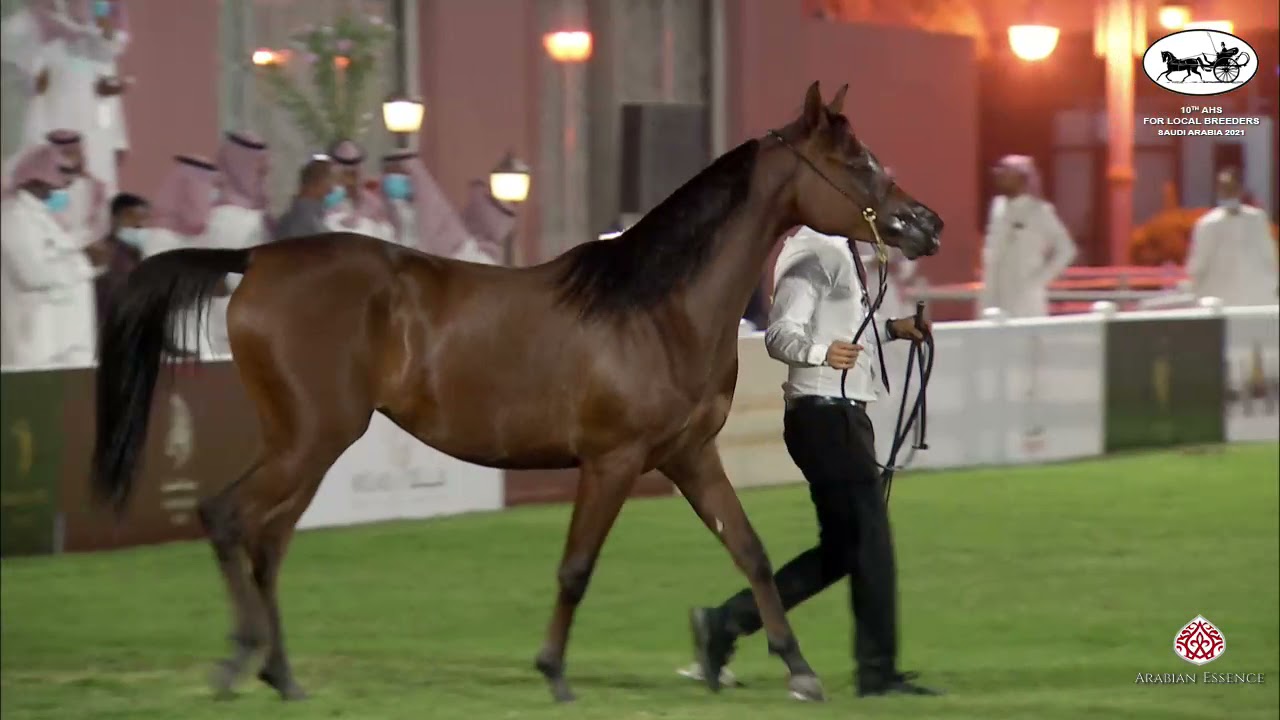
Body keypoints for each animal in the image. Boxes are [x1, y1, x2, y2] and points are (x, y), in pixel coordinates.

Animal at [90, 80, 943, 705]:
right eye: (857, 161)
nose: (925, 223)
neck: (654, 307)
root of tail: (259, 258)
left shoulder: (688, 455)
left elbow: (753, 552)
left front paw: (797, 668)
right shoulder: (612, 460)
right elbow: (576, 567)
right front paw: (555, 674)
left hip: (308, 443)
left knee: (266, 540)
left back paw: (283, 675)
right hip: (310, 437)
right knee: (228, 517)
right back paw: (241, 663)